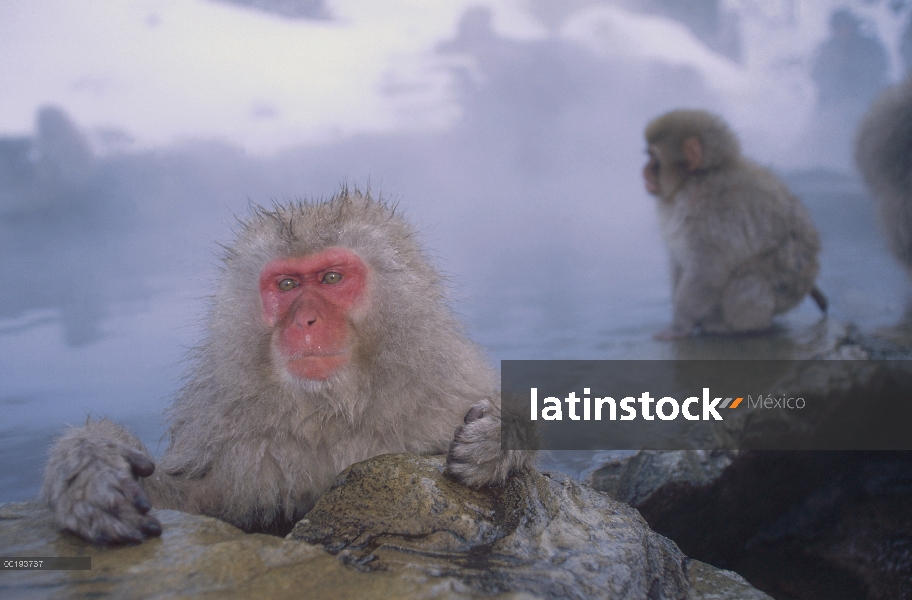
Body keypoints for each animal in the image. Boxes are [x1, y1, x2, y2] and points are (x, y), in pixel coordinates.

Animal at [41, 191, 536, 544]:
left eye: (332, 278)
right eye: (286, 285)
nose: (304, 321)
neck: (334, 412)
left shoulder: (446, 393)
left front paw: (500, 433)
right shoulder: (236, 448)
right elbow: (189, 503)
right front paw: (92, 466)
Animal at [640, 109, 828, 340]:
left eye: (654, 158)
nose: (644, 170)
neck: (697, 177)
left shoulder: (711, 213)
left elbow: (707, 270)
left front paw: (679, 326)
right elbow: (678, 262)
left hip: (784, 292)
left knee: (750, 280)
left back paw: (740, 326)